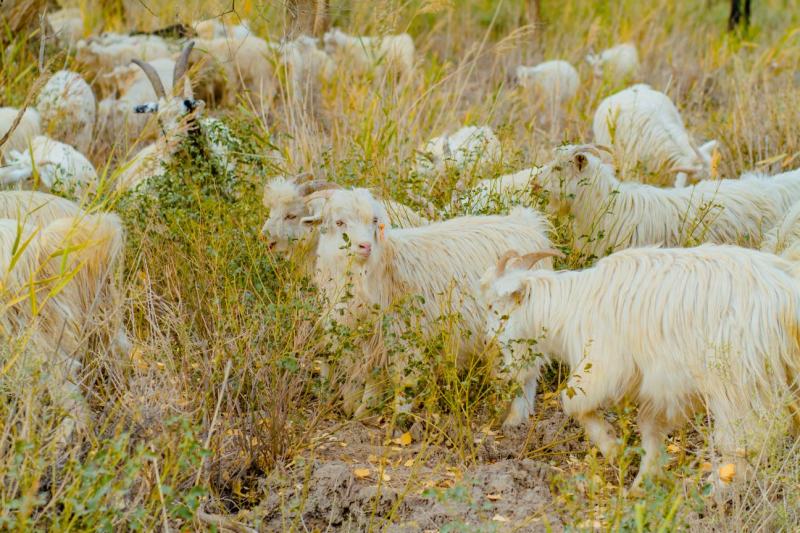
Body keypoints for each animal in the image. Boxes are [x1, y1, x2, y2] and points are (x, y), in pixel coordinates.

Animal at [304, 187, 552, 416]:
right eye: (339, 222)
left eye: (374, 221)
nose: (365, 246)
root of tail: (528, 224)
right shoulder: (369, 342)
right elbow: (371, 380)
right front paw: (362, 414)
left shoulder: (405, 337)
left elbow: (404, 384)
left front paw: (398, 421)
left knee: (527, 374)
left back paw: (515, 419)